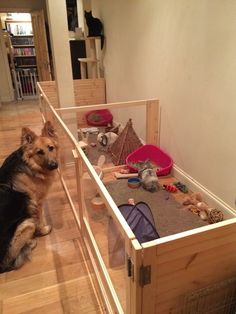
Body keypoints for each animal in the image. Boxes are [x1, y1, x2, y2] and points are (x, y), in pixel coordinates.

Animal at [0, 121, 58, 274]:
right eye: (39, 152)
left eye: (51, 148)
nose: (54, 165)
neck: (30, 165)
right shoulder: (36, 203)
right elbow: (39, 220)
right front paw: (43, 230)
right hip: (26, 224)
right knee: (9, 263)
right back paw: (31, 242)